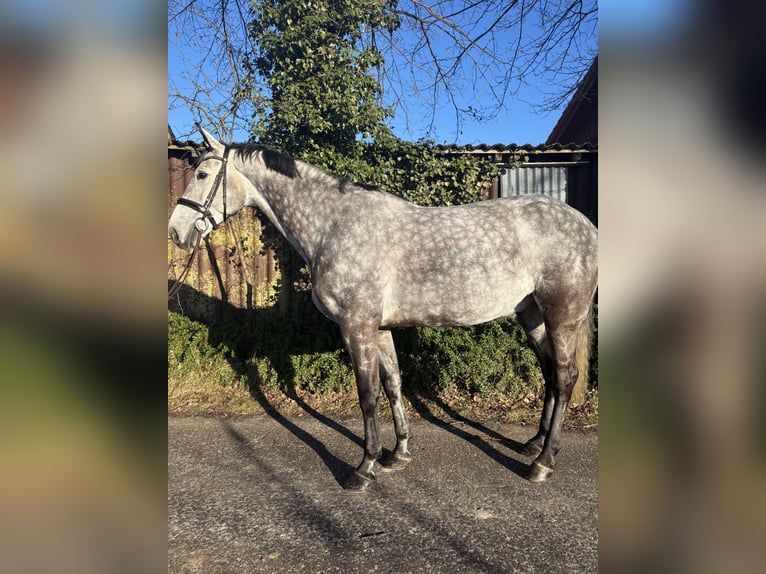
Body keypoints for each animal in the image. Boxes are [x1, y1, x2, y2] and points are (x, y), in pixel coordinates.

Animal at [170, 128, 600, 492]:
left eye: (204, 174)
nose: (176, 230)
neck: (333, 226)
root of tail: (586, 226)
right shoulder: (378, 328)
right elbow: (393, 384)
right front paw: (398, 454)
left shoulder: (356, 326)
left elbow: (367, 394)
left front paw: (364, 468)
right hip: (532, 315)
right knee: (550, 373)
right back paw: (534, 444)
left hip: (562, 316)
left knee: (565, 378)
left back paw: (542, 463)